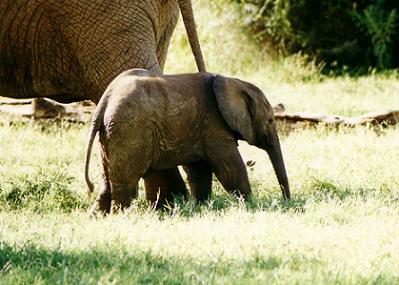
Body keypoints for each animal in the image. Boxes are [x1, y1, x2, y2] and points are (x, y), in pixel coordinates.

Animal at [85, 69, 290, 214]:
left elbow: (200, 171)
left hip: (110, 135)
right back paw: (122, 217)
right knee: (125, 184)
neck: (234, 82)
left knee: (107, 182)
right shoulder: (213, 125)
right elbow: (230, 169)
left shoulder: (200, 130)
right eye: (270, 120)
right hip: (129, 132)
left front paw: (202, 208)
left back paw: (98, 217)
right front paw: (250, 205)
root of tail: (104, 103)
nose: (287, 201)